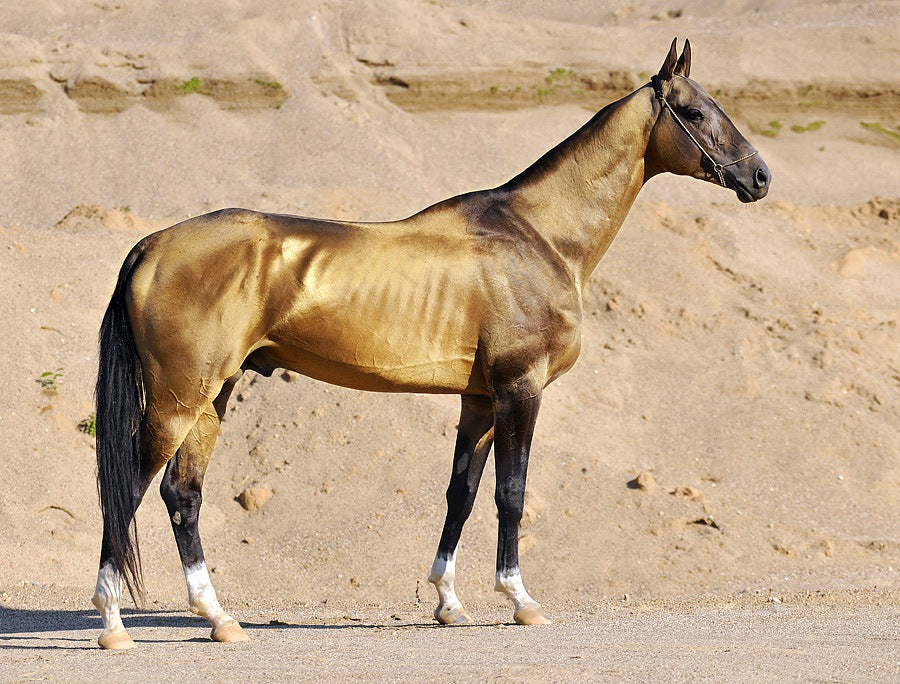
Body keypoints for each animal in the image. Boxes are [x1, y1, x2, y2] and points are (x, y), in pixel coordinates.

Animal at [91, 39, 770, 649]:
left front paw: (448, 602)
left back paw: (219, 619)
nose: (760, 176)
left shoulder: (480, 400)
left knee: (182, 493)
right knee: (130, 488)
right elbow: (510, 494)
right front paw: (520, 600)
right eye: (697, 112)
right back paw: (114, 625)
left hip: (213, 397)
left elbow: (461, 494)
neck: (540, 236)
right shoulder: (520, 389)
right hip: (178, 400)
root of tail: (152, 245)